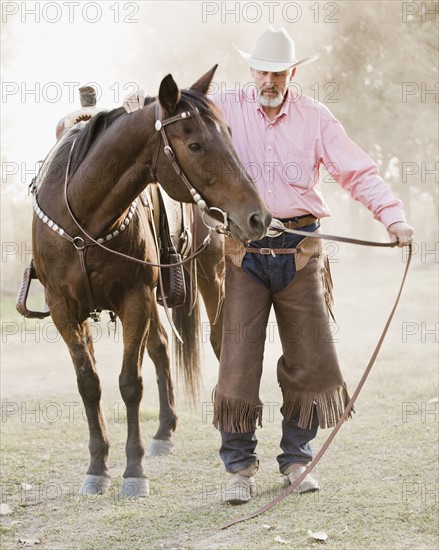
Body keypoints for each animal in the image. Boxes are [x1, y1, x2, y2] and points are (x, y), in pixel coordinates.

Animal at [31, 67, 272, 498]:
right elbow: (89, 383)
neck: (82, 220)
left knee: (217, 341)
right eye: (195, 145)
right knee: (160, 348)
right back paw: (163, 431)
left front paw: (134, 471)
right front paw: (97, 467)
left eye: (228, 134)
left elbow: (130, 383)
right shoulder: (64, 309)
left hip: (209, 276)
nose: (257, 216)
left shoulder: (135, 299)